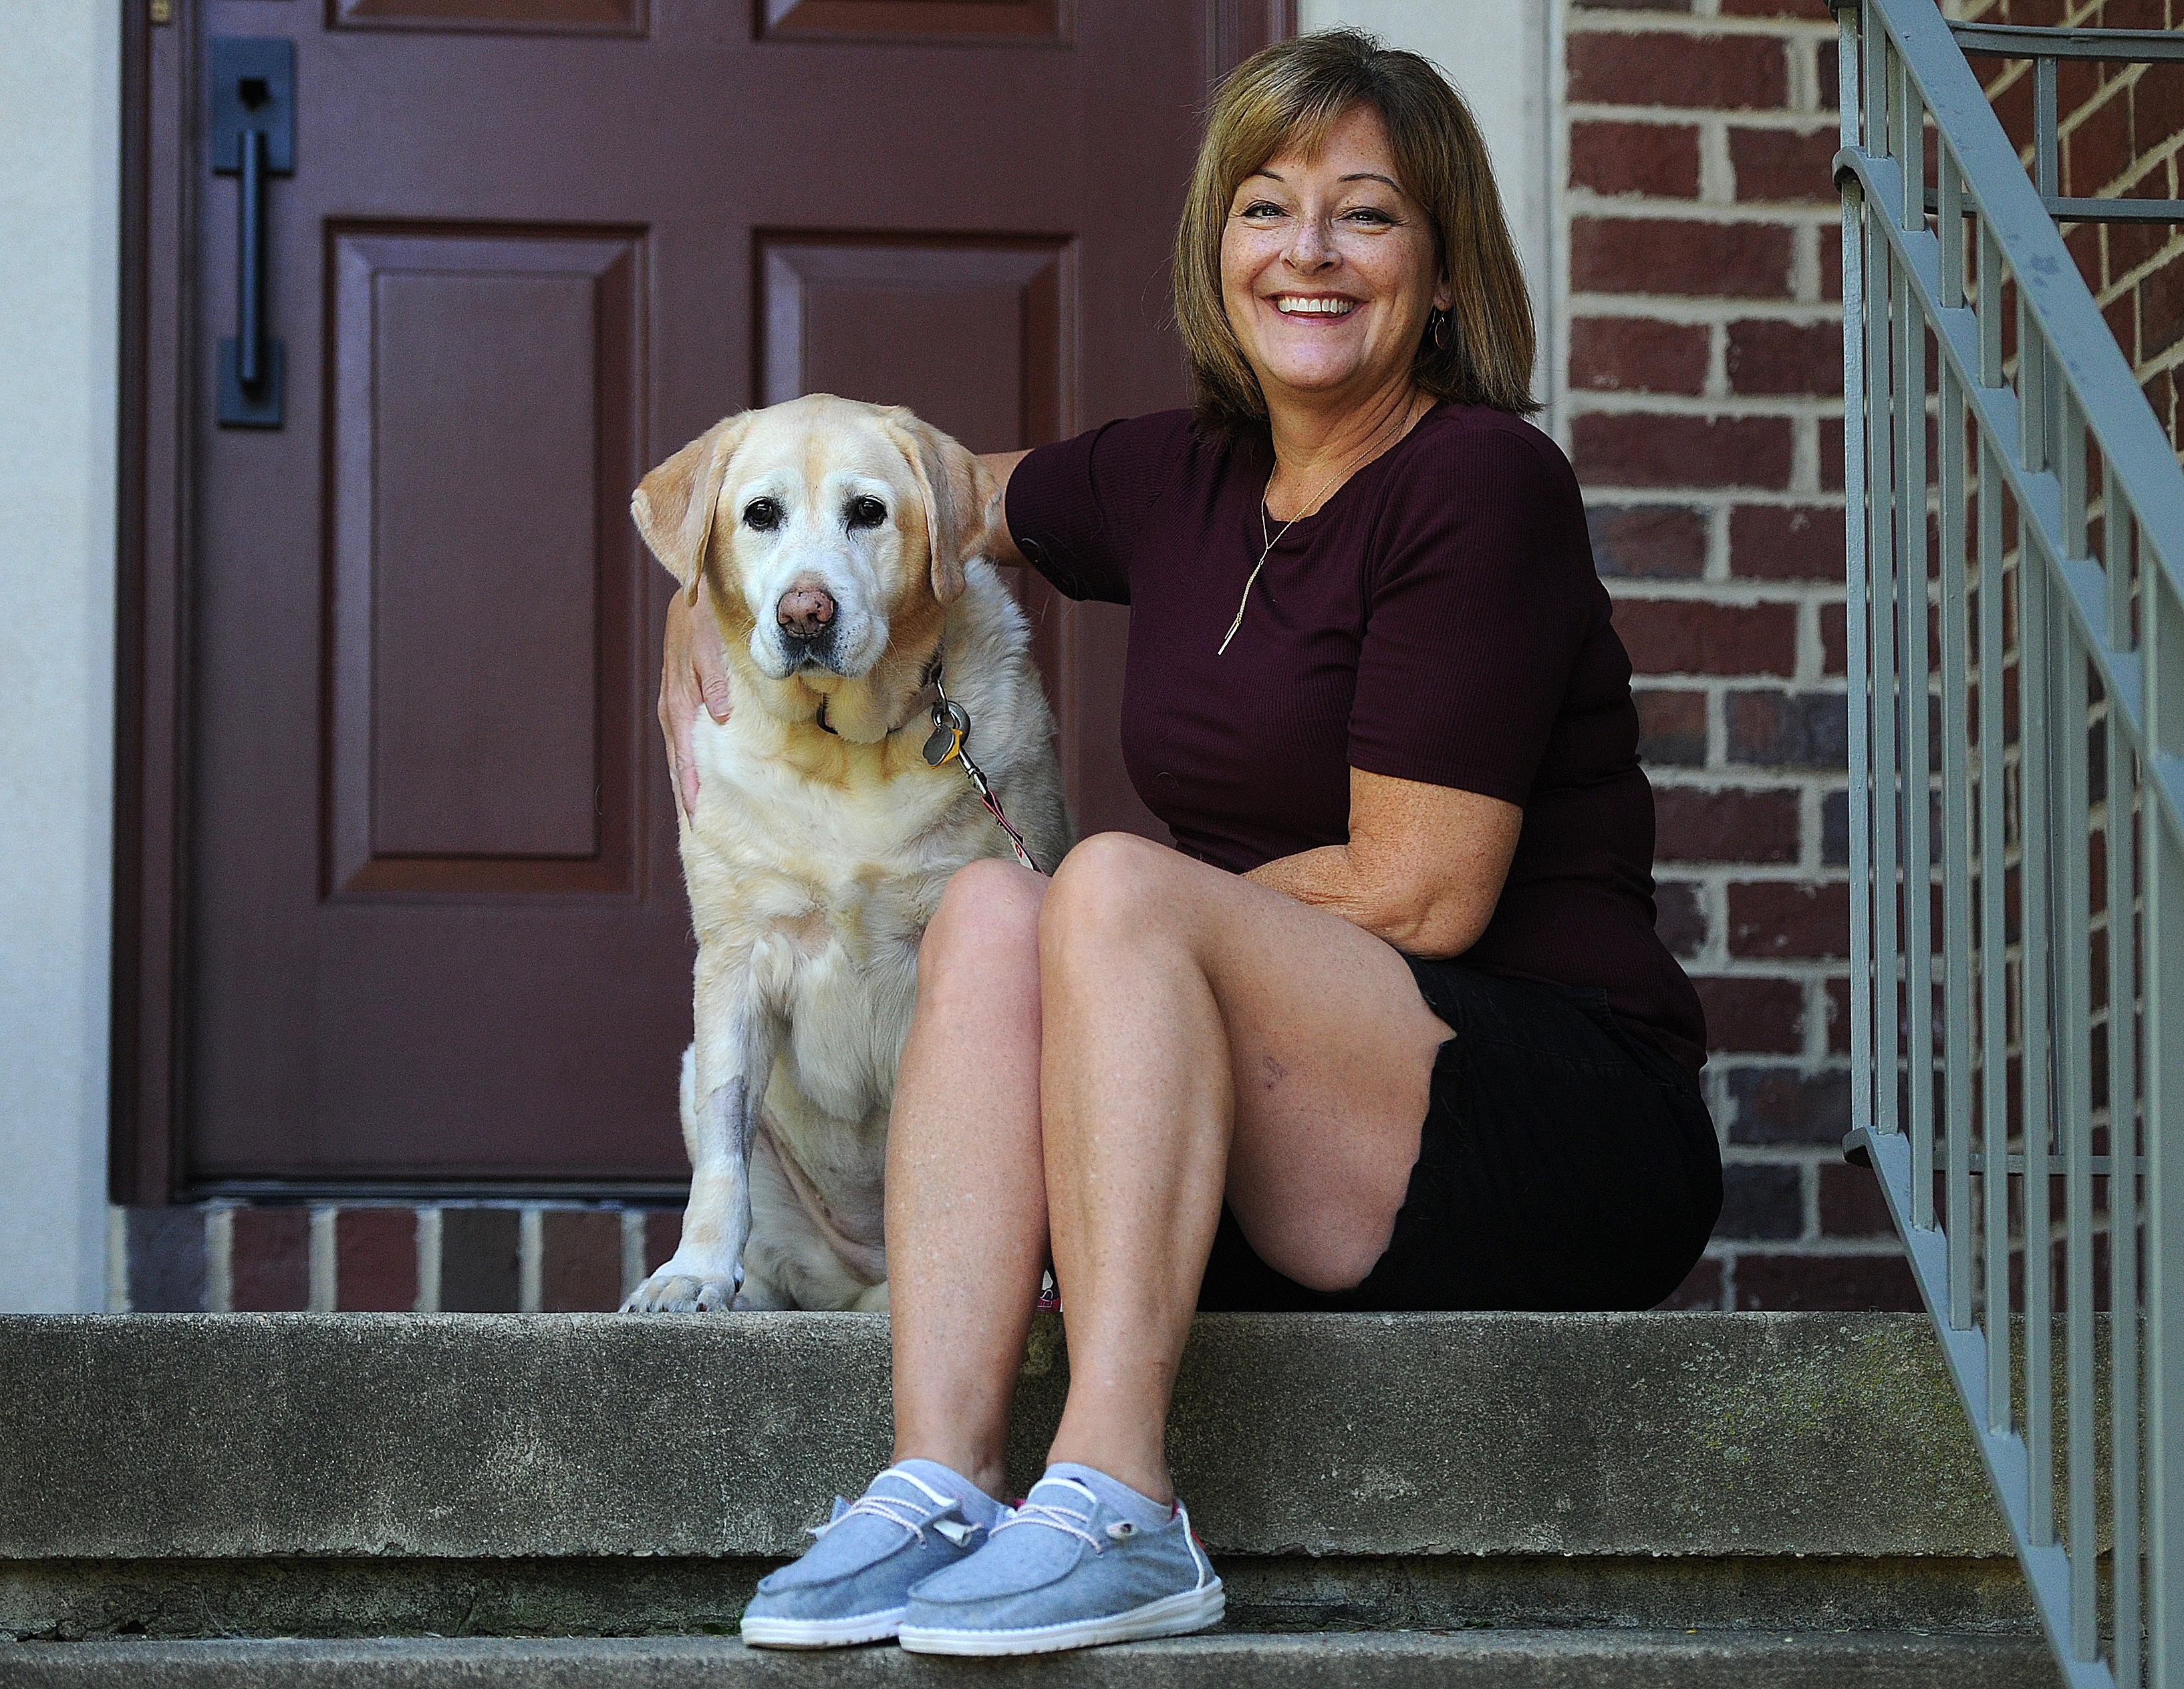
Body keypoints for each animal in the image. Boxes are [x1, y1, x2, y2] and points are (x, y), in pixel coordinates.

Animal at [624, 399, 1065, 1326]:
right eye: (761, 514)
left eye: (869, 512)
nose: (805, 613)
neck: (845, 752)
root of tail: (865, 1283)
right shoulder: (733, 959)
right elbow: (721, 1154)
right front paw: (692, 1272)